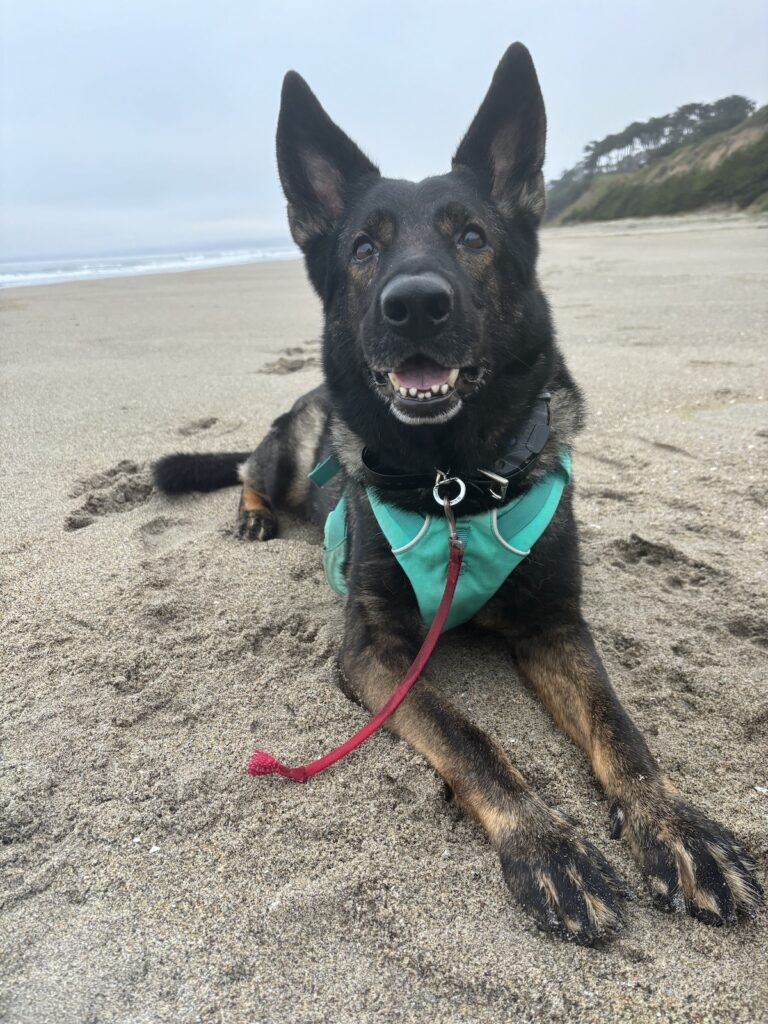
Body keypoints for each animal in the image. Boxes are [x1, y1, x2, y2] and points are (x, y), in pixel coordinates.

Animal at [151, 46, 765, 942]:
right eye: (363, 248)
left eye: (472, 237)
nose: (415, 304)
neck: (456, 484)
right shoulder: (376, 653)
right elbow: (469, 737)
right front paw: (546, 845)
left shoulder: (555, 627)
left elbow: (621, 729)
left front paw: (675, 825)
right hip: (293, 448)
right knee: (247, 472)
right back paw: (253, 519)